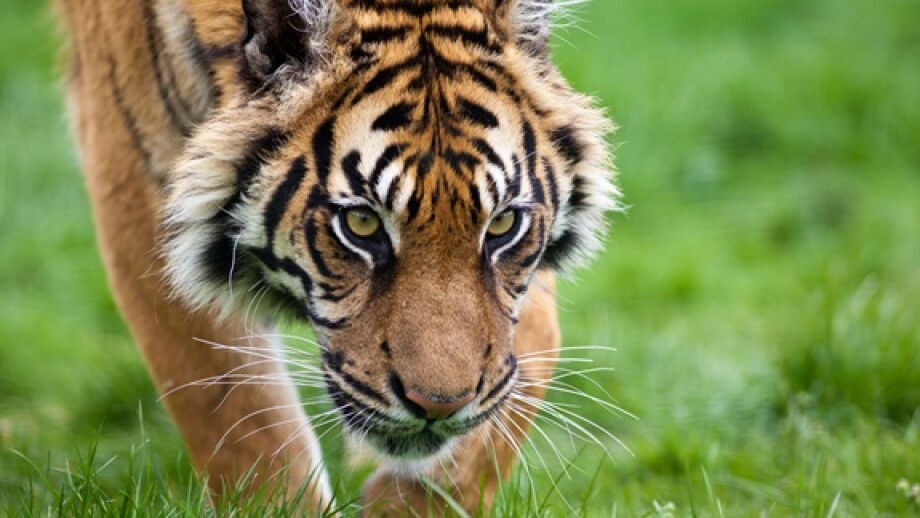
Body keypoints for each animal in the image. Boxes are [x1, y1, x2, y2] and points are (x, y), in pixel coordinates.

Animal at [55, 0, 618, 514]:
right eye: (361, 224)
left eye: (501, 224)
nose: (439, 407)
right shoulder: (143, 176)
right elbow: (245, 425)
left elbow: (535, 344)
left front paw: (407, 501)